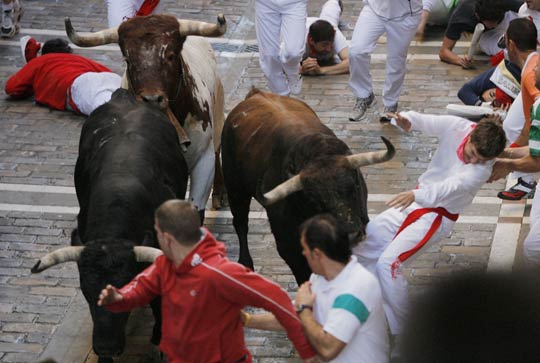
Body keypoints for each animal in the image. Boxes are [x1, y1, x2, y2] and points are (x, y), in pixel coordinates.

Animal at [221, 89, 394, 286]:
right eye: (314, 201)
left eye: (354, 186)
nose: (352, 235)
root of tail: (256, 93)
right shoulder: (288, 246)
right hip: (235, 188)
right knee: (241, 223)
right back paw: (245, 263)